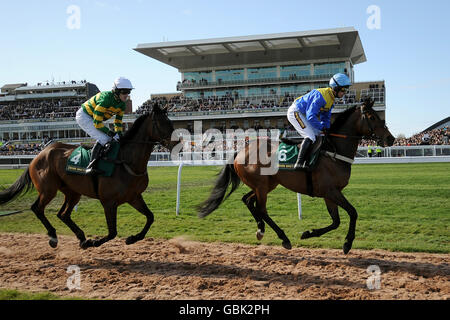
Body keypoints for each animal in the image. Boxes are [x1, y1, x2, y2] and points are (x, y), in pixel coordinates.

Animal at [0, 104, 174, 249]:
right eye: (162, 123)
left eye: (171, 124)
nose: (175, 144)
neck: (126, 162)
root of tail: (38, 156)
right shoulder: (108, 201)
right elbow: (112, 232)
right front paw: (95, 242)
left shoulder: (134, 196)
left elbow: (150, 217)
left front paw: (132, 238)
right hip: (48, 190)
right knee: (37, 208)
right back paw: (54, 237)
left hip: (72, 192)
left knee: (63, 214)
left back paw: (82, 238)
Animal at [200, 99, 394, 254]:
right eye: (372, 117)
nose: (390, 139)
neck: (333, 151)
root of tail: (240, 151)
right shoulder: (331, 191)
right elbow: (353, 212)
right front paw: (347, 244)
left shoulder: (330, 193)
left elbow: (336, 221)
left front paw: (309, 233)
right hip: (261, 185)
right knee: (261, 209)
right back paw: (283, 238)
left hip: (267, 184)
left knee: (248, 200)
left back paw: (261, 229)